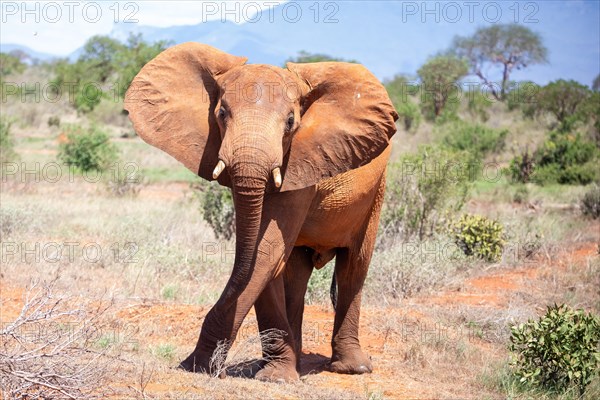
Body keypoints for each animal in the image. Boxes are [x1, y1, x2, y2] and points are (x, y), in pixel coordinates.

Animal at [125, 42, 398, 382]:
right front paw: (269, 374)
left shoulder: (301, 160)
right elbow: (265, 255)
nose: (196, 364)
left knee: (354, 265)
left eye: (291, 122)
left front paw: (206, 367)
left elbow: (266, 251)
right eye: (221, 114)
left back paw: (352, 368)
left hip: (376, 191)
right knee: (295, 273)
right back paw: (294, 361)